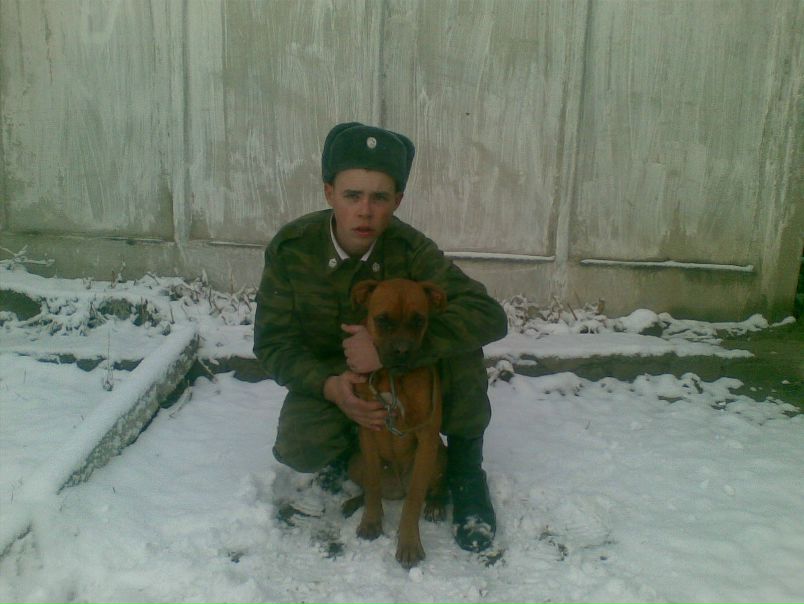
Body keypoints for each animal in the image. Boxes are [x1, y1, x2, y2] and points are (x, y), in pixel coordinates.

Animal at [343, 278, 449, 568]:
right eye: (382, 319)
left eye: (418, 320)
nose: (402, 351)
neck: (392, 377)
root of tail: (397, 488)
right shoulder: (367, 428)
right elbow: (372, 483)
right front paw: (370, 521)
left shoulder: (426, 436)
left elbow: (413, 500)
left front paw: (409, 543)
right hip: (354, 461)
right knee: (369, 484)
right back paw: (354, 502)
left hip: (439, 455)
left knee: (435, 485)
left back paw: (436, 503)